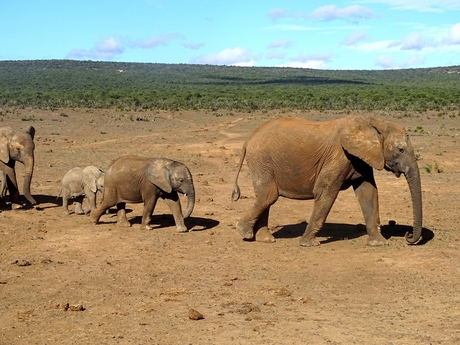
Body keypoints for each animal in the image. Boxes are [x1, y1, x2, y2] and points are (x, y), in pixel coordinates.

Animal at [232, 115, 422, 245]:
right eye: (400, 150)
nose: (408, 236)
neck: (373, 122)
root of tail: (249, 139)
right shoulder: (339, 155)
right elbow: (325, 191)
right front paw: (309, 244)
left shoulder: (361, 158)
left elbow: (368, 192)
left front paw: (380, 243)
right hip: (262, 160)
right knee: (268, 196)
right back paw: (244, 233)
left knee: (266, 197)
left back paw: (266, 239)